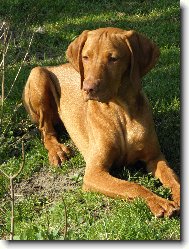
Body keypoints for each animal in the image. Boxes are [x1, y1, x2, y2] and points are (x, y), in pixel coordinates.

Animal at [22, 27, 181, 217]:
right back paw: (57, 150)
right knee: (46, 130)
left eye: (113, 58)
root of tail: (56, 66)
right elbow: (132, 186)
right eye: (85, 57)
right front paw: (158, 201)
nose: (87, 88)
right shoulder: (94, 172)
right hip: (38, 74)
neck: (120, 112)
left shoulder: (155, 157)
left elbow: (172, 177)